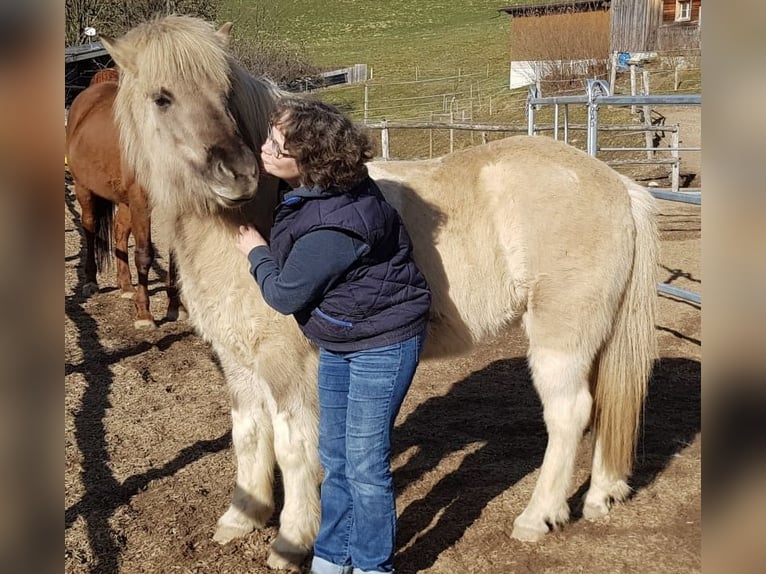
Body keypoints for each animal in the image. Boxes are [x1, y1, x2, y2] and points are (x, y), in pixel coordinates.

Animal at [65, 68, 186, 328]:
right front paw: (144, 315)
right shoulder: (141, 199)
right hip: (84, 189)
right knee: (89, 228)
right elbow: (144, 254)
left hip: (125, 200)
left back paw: (126, 285)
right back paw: (91, 282)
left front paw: (176, 307)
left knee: (120, 233)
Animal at [100, 15, 660, 572]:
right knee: (605, 406)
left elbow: (293, 445)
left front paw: (291, 540)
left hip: (560, 338)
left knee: (569, 415)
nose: (237, 174)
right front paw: (243, 518)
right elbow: (248, 435)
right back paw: (601, 496)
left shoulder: (286, 364)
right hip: (597, 335)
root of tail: (617, 185)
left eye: (225, 91)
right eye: (161, 98)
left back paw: (536, 517)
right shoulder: (237, 360)